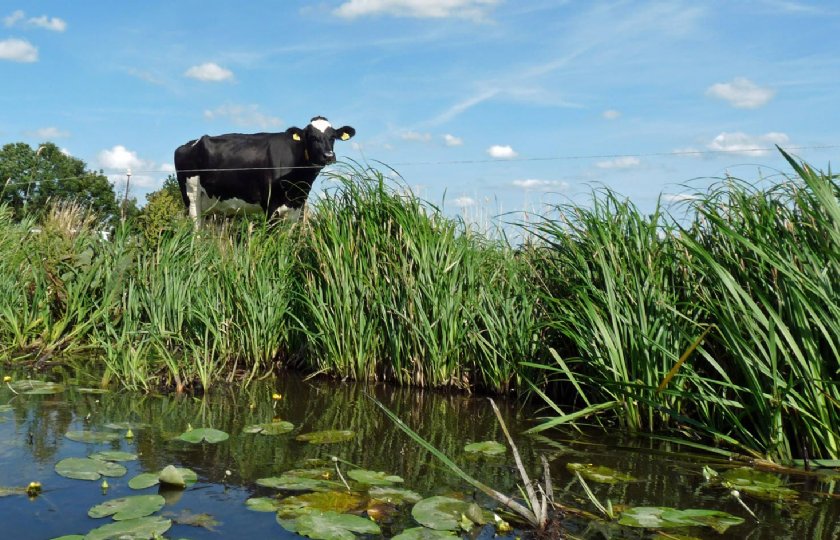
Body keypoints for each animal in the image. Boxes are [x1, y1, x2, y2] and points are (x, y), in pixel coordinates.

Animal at [176, 116, 356, 221]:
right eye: (312, 137)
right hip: (192, 197)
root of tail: (188, 144)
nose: (328, 155)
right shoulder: (271, 205)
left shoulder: (297, 207)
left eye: (333, 137)